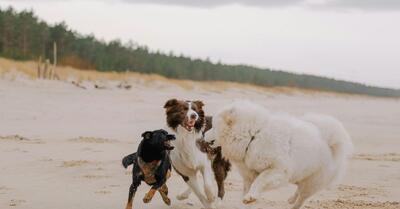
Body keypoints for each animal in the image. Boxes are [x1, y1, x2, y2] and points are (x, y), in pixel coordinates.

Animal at [206, 100, 354, 208]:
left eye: (213, 126)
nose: (203, 136)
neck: (254, 136)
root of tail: (330, 141)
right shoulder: (249, 174)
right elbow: (249, 186)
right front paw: (248, 200)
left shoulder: (277, 170)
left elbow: (260, 180)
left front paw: (250, 197)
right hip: (303, 174)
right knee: (299, 189)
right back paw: (291, 199)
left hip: (313, 181)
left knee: (302, 197)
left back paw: (293, 204)